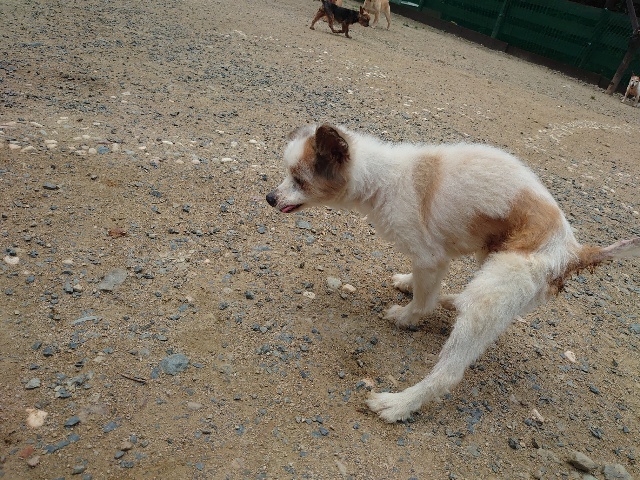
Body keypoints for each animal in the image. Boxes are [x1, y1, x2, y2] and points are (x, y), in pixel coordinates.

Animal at [266, 124, 640, 423]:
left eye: (299, 179)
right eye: (288, 174)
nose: (269, 197)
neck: (383, 179)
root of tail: (574, 250)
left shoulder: (431, 258)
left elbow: (422, 302)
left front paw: (407, 317)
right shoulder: (433, 259)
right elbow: (420, 285)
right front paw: (408, 283)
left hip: (489, 298)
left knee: (447, 375)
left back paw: (397, 404)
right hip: (492, 264)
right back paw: (451, 301)